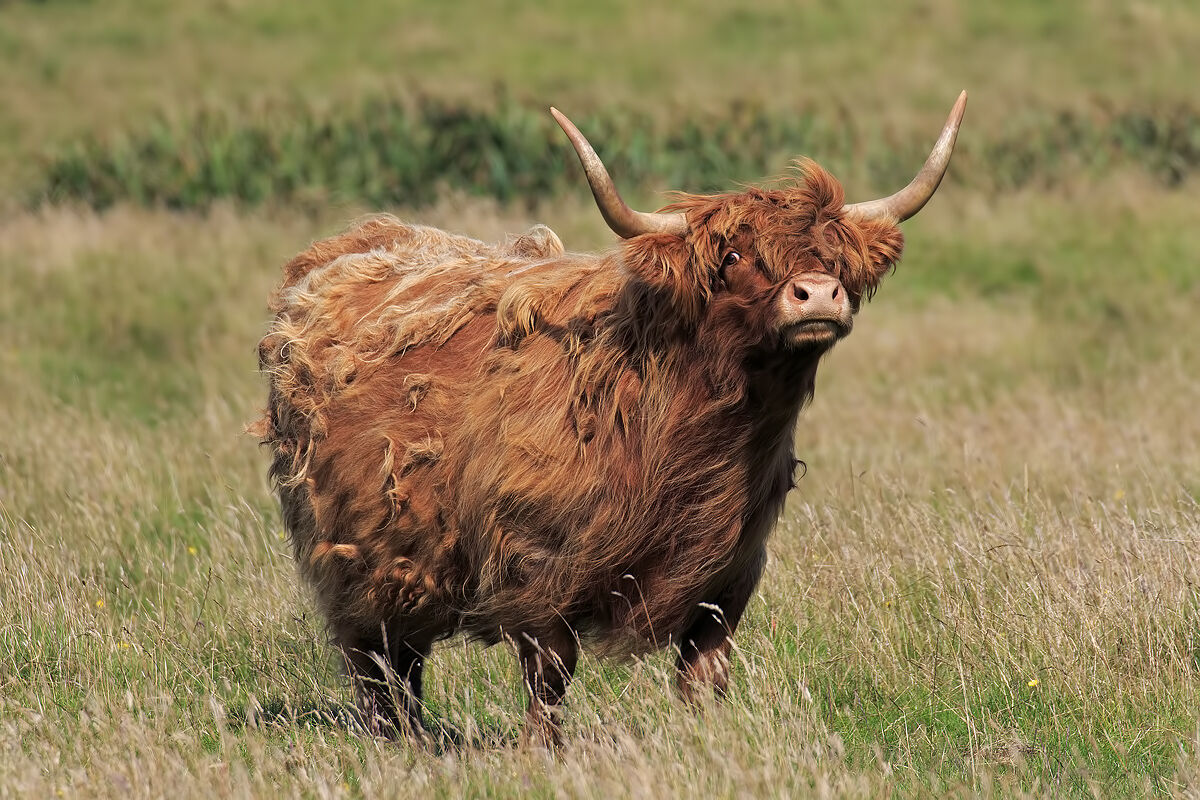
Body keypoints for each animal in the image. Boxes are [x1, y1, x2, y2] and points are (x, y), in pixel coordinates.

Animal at [256, 92, 966, 746]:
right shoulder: (536, 569)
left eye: (836, 256)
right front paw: (542, 752)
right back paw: (399, 740)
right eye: (733, 258)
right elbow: (549, 678)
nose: (817, 294)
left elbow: (704, 676)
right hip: (354, 560)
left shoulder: (731, 574)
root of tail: (353, 244)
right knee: (380, 663)